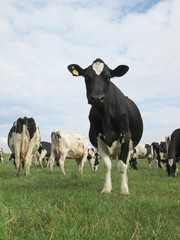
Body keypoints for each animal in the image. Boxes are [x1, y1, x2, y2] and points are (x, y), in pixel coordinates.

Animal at [67, 58, 143, 195]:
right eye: (86, 77)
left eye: (108, 78)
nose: (97, 98)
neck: (106, 116)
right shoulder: (99, 139)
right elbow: (107, 165)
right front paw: (107, 188)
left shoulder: (126, 135)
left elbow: (122, 165)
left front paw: (124, 190)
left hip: (130, 146)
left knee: (126, 162)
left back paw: (126, 182)